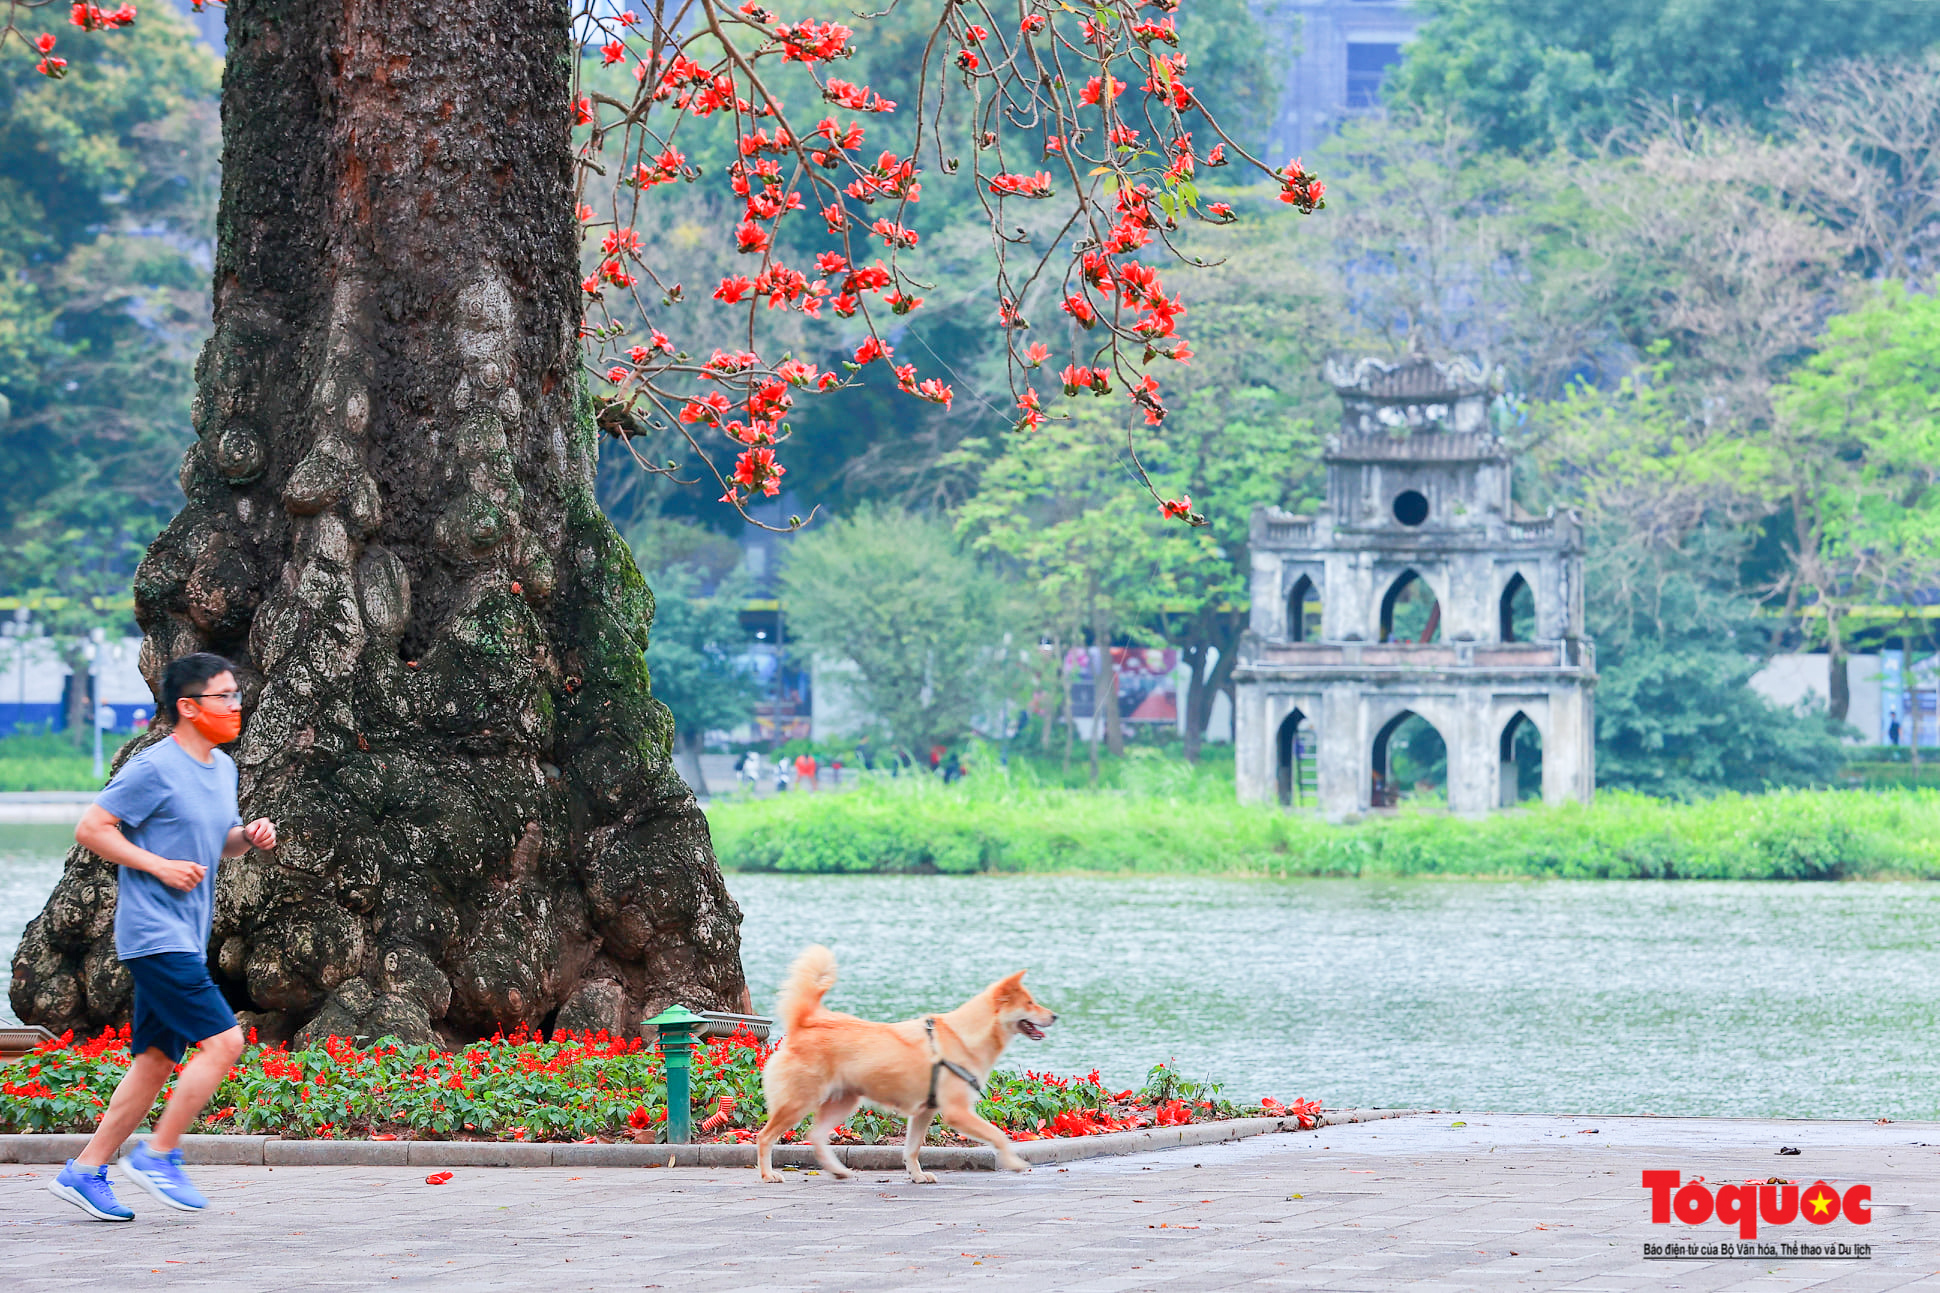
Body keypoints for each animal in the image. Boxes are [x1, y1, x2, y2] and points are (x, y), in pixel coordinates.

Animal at [756, 935, 1063, 1180]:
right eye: (1030, 1003)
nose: (1056, 1015)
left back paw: (839, 1170)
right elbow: (998, 1136)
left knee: (815, 1137)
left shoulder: (925, 1112)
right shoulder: (957, 1111)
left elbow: (913, 1148)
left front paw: (916, 1176)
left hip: (843, 1101)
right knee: (765, 1136)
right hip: (799, 1102)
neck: (964, 1035)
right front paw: (1014, 1162)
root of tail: (805, 1023)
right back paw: (769, 1174)